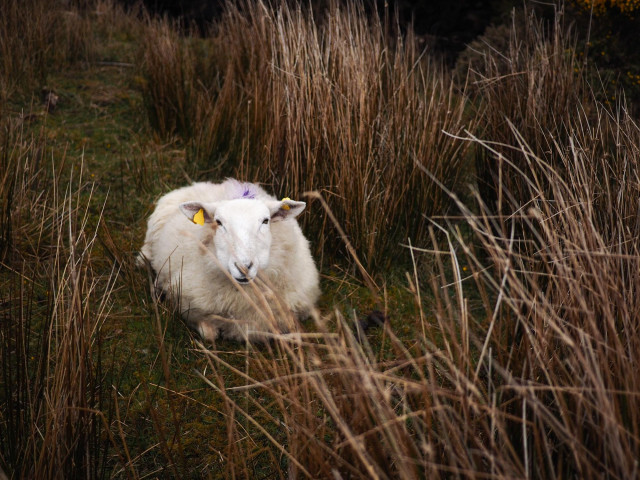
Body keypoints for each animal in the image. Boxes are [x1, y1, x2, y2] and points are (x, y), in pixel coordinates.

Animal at [139, 179, 320, 342]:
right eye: (219, 222)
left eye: (265, 221)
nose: (244, 267)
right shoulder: (187, 305)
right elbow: (209, 335)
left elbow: (294, 333)